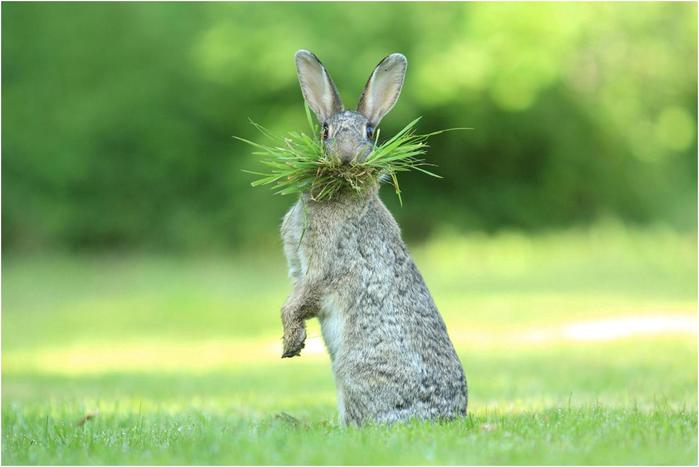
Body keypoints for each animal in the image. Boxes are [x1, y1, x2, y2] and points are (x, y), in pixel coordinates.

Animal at [280, 49, 470, 426]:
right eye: (325, 130)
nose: (346, 157)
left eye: (370, 132)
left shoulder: (322, 269)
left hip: (352, 369)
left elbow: (301, 301)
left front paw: (291, 342)